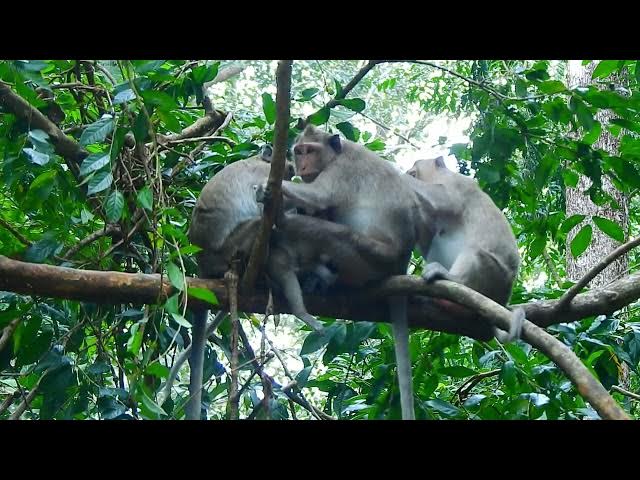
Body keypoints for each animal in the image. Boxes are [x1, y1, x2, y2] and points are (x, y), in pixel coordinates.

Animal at [405, 156, 524, 343]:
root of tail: (502, 301)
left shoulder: (456, 184)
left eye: (413, 172)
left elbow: (444, 199)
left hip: (494, 277)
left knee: (475, 253)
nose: (408, 172)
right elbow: (427, 237)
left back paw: (451, 278)